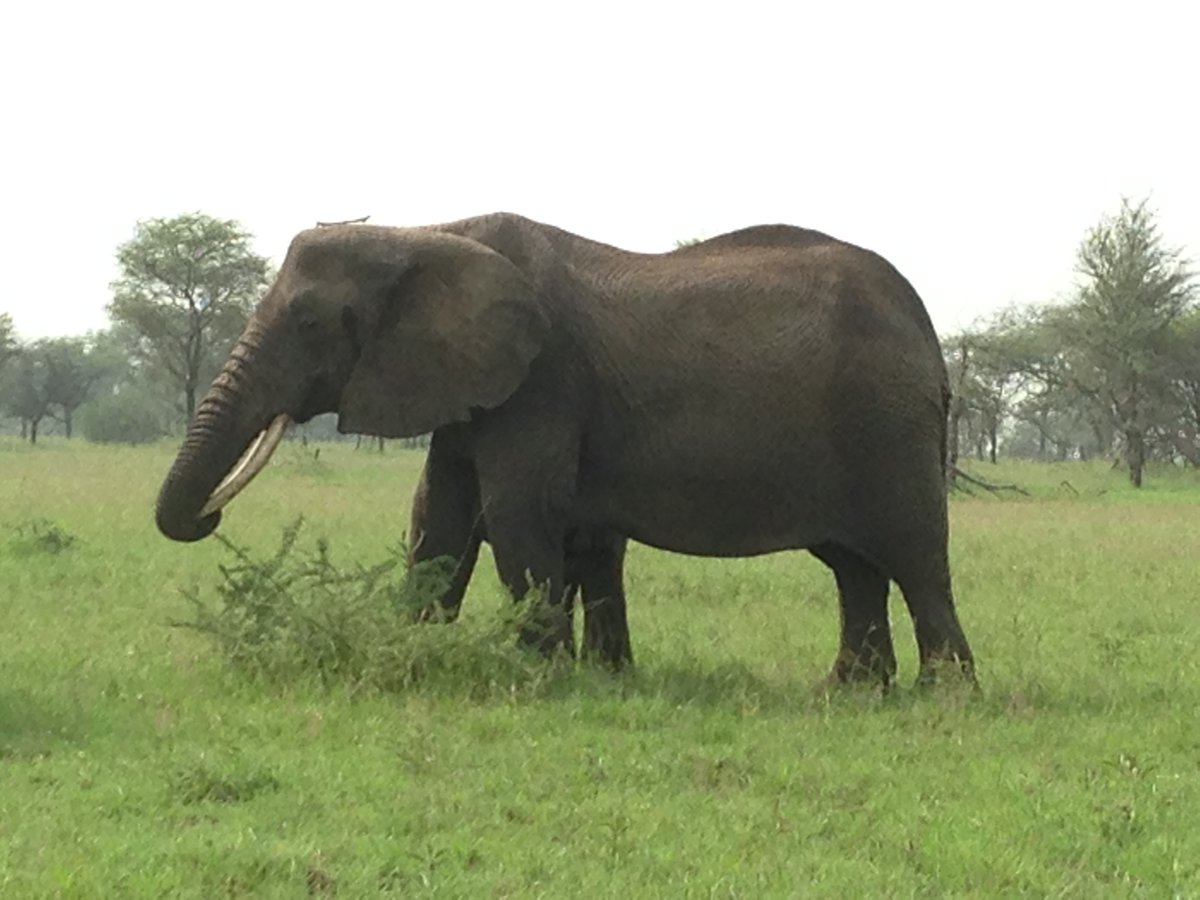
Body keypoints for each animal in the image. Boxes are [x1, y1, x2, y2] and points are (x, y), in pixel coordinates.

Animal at [155, 212, 976, 689]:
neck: (425, 230)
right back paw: (852, 690)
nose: (209, 519)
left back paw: (945, 696)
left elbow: (518, 511)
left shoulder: (543, 378)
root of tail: (929, 332)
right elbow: (440, 515)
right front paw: (414, 656)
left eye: (311, 323)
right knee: (854, 566)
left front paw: (536, 676)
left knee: (915, 557)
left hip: (886, 423)